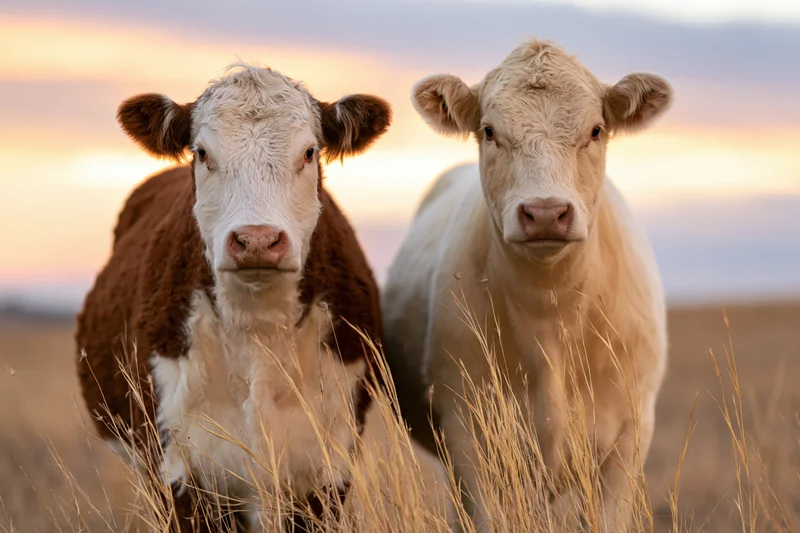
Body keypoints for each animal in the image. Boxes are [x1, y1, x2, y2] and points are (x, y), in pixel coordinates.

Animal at [75, 64, 391, 532]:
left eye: (309, 152)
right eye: (203, 152)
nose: (257, 240)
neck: (255, 335)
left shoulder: (327, 472)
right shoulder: (177, 470)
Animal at [382, 39, 671, 532]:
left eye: (596, 130)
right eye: (489, 131)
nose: (546, 213)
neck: (550, 313)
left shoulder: (630, 433)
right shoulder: (468, 435)